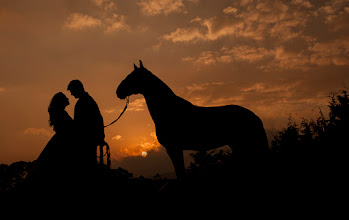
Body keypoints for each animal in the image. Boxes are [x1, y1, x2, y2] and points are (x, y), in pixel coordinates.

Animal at [115, 59, 268, 179]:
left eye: (132, 77)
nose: (118, 91)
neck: (168, 110)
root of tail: (254, 116)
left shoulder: (174, 148)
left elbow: (180, 173)